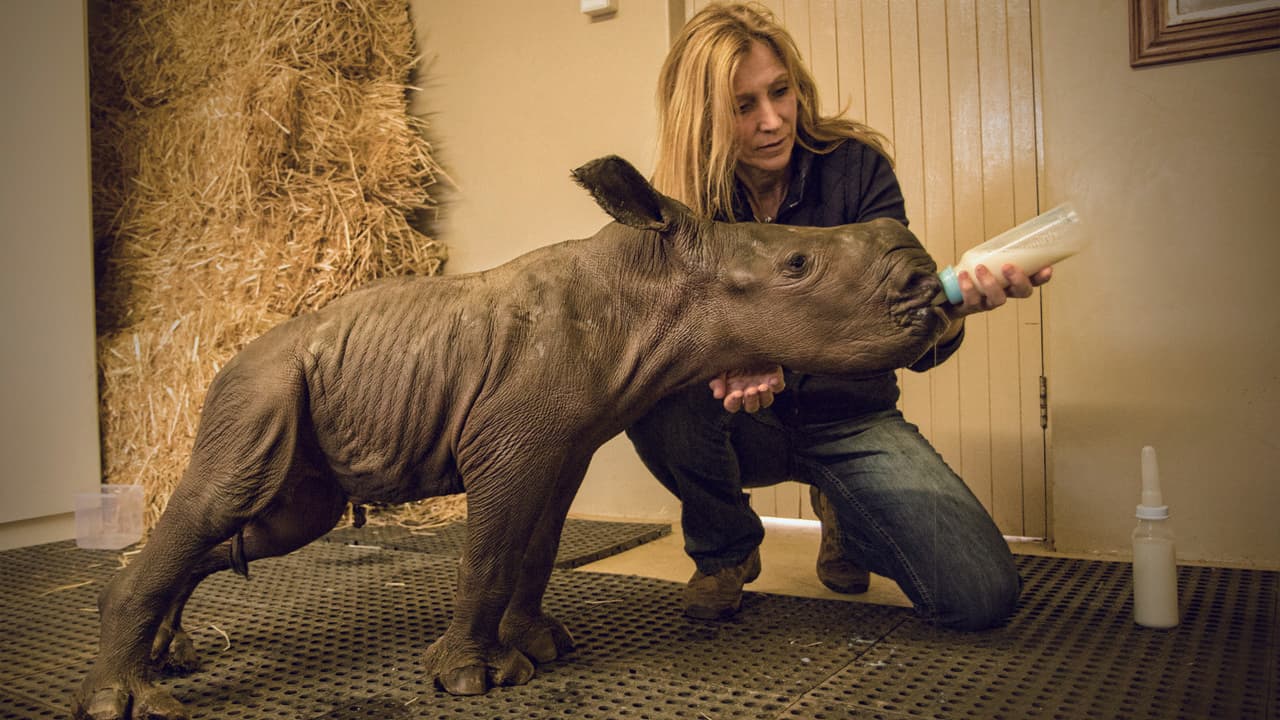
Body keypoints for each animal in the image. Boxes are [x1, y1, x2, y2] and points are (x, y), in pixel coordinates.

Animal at [73, 155, 948, 719]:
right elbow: (490, 555)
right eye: (798, 264)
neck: (650, 286)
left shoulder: (562, 446)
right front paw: (469, 681)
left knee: (272, 524)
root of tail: (228, 355)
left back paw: (169, 651)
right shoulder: (511, 444)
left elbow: (535, 548)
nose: (925, 286)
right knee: (226, 500)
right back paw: (128, 699)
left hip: (293, 400)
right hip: (259, 385)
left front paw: (541, 648)